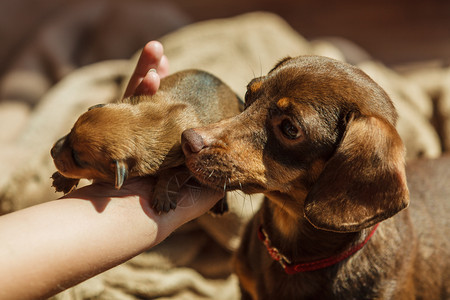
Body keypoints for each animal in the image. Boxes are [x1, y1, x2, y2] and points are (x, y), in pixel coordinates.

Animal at [51, 69, 243, 212]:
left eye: (78, 158)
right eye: (70, 131)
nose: (52, 152)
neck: (143, 124)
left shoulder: (188, 161)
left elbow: (170, 176)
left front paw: (163, 197)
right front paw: (63, 180)